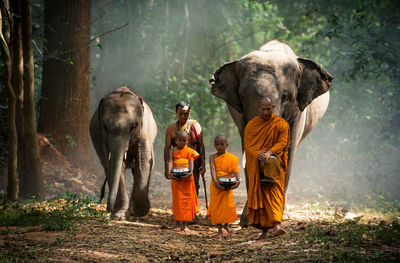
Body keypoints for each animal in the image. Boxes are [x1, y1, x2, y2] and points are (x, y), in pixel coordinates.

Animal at [90, 86, 157, 221]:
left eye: (133, 126)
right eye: (105, 127)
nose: (108, 209)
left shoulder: (144, 133)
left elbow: (143, 163)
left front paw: (138, 212)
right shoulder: (102, 138)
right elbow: (114, 165)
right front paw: (119, 216)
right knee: (107, 167)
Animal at [209, 39, 334, 227]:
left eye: (285, 96)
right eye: (243, 97)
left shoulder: (298, 111)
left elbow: (287, 152)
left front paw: (275, 218)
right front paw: (250, 221)